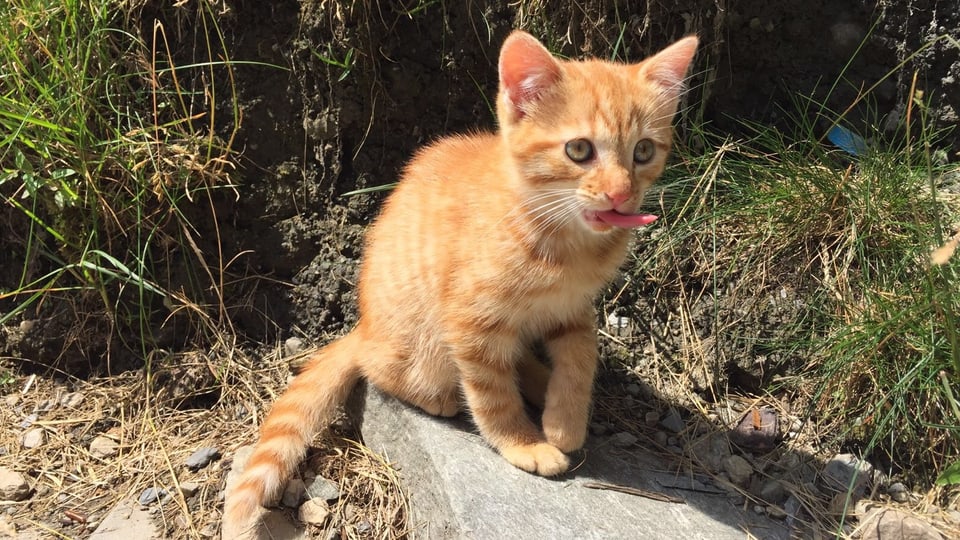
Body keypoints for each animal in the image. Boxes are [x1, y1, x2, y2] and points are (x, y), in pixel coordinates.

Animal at [225, 30, 696, 540]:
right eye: (579, 150)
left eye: (643, 151)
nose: (620, 194)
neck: (561, 238)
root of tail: (363, 327)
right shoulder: (471, 323)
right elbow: (492, 394)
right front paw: (523, 443)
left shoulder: (572, 309)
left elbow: (580, 359)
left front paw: (565, 419)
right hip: (419, 345)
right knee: (389, 370)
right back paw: (447, 397)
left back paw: (538, 381)